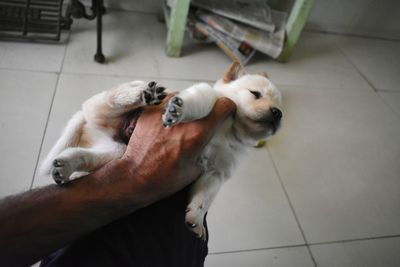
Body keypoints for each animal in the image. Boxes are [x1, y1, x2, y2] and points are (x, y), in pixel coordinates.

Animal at [40, 63, 282, 241]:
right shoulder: (208, 97)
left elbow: (204, 198)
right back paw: (142, 94)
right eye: (255, 94)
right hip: (103, 108)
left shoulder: (215, 174)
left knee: (84, 155)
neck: (229, 133)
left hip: (115, 151)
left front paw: (196, 218)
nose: (278, 113)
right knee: (112, 98)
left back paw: (65, 166)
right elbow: (200, 103)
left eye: (280, 106)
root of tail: (88, 121)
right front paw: (178, 110)